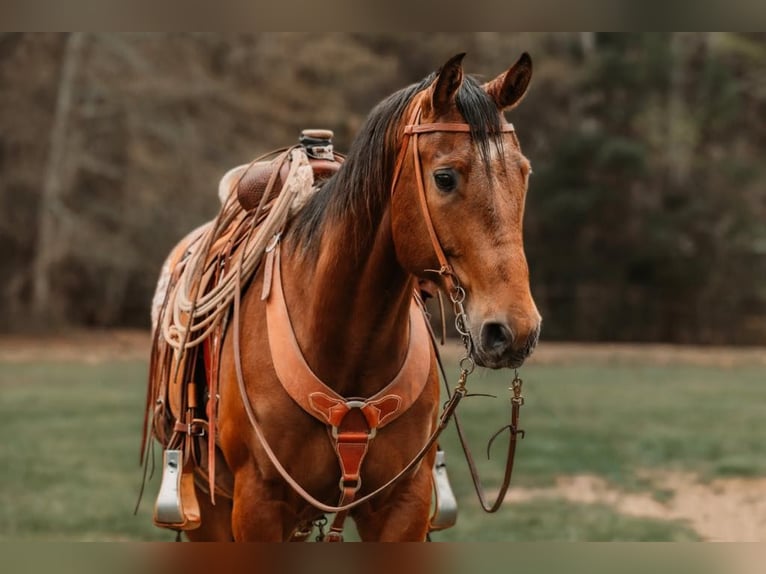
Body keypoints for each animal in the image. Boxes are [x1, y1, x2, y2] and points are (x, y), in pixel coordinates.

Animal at [147, 51, 544, 544]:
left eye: (523, 173)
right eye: (445, 177)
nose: (513, 331)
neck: (347, 346)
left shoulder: (403, 504)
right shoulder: (257, 505)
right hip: (208, 510)